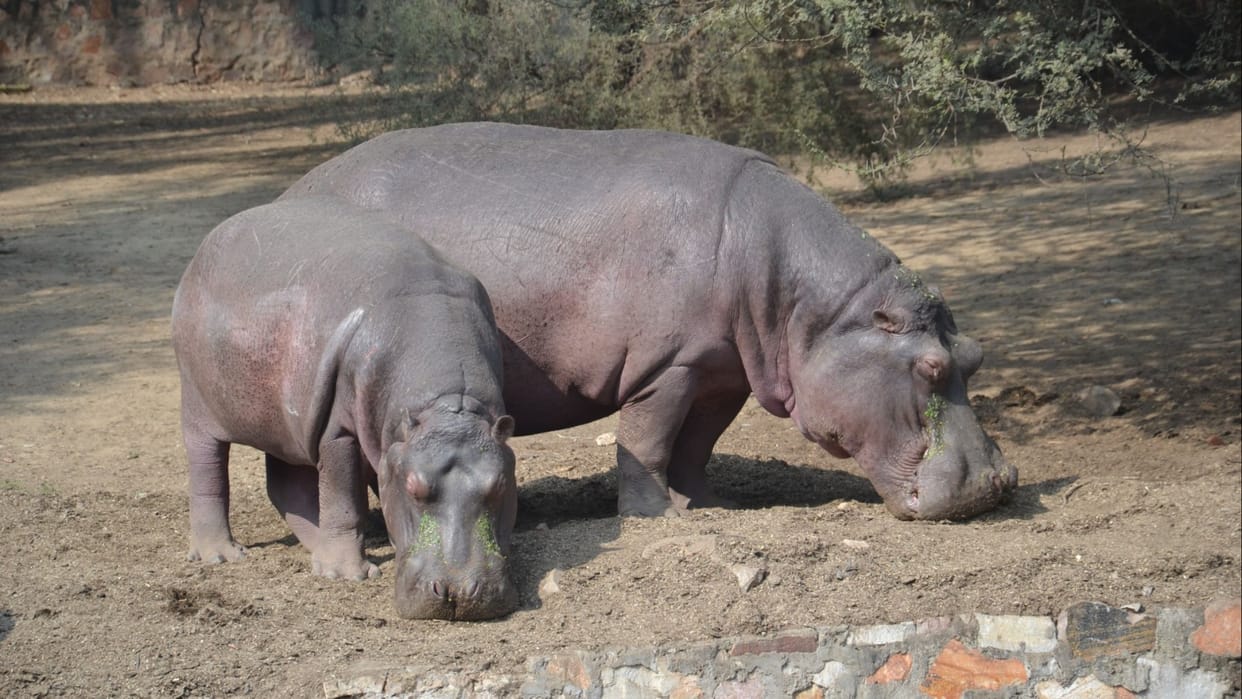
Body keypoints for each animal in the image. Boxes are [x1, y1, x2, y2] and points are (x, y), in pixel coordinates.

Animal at [171, 195, 518, 620]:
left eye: (500, 484)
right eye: (412, 486)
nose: (458, 592)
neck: (447, 406)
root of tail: (210, 241)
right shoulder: (336, 430)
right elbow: (342, 496)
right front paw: (348, 575)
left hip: (290, 424)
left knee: (286, 485)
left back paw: (315, 551)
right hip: (198, 406)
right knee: (208, 472)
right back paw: (222, 555)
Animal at [281, 123, 1017, 521]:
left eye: (975, 353)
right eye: (929, 368)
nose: (997, 483)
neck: (817, 310)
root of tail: (291, 191)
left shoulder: (722, 373)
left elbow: (698, 446)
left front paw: (705, 509)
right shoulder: (669, 366)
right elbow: (651, 440)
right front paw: (653, 516)